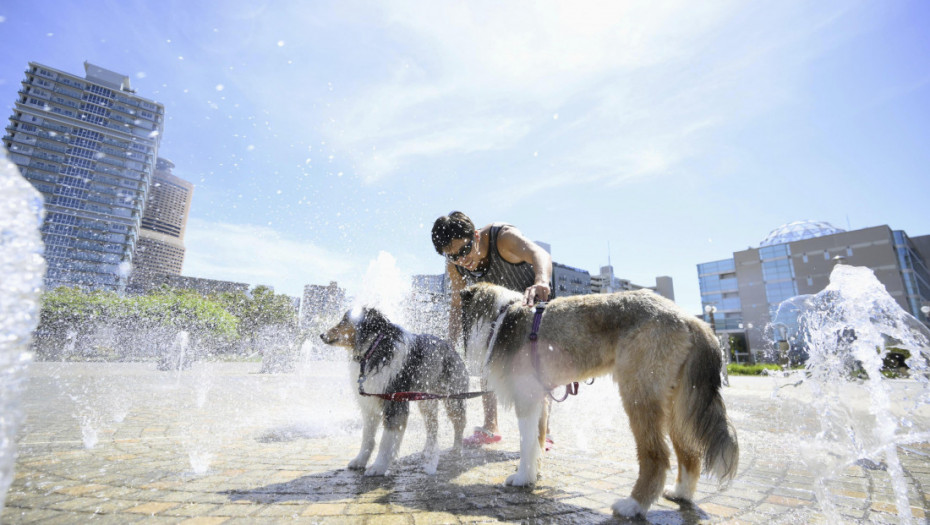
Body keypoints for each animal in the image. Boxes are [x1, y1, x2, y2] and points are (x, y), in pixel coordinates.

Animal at [320, 308, 468, 474]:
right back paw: (427, 451)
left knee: (459, 422)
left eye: (344, 320)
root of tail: (452, 348)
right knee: (433, 426)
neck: (374, 349)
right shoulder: (370, 403)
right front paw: (359, 461)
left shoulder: (394, 401)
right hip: (425, 400)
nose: (321, 335)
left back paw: (456, 450)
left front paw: (378, 467)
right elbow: (367, 437)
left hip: (453, 398)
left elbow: (387, 439)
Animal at [458, 282, 740, 516]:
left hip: (638, 394)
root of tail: (689, 318)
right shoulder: (540, 399)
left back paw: (634, 505)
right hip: (676, 403)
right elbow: (537, 442)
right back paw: (680, 492)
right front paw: (532, 476)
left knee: (657, 454)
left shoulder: (526, 397)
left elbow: (526, 443)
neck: (502, 318)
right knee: (690, 453)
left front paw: (521, 478)